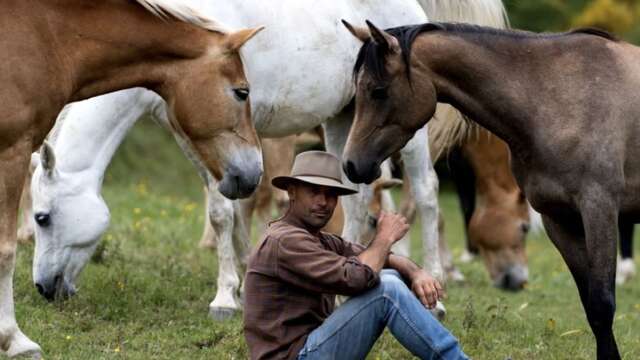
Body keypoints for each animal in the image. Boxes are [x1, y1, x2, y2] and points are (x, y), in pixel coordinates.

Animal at [0, 0, 264, 358]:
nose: (254, 171)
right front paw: (15, 340)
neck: (47, 36)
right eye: (241, 92)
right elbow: (6, 251)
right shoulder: (11, 150)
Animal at [30, 0, 508, 320]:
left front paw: (224, 297)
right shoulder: (196, 136)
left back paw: (437, 295)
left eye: (42, 217)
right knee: (355, 200)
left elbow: (227, 209)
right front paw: (243, 280)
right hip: (344, 121)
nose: (44, 289)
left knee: (426, 196)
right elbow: (228, 208)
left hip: (410, 134)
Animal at [344, 20, 640, 360]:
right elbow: (590, 305)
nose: (351, 164)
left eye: (378, 91)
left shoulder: (598, 210)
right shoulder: (560, 220)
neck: (556, 98)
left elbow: (602, 305)